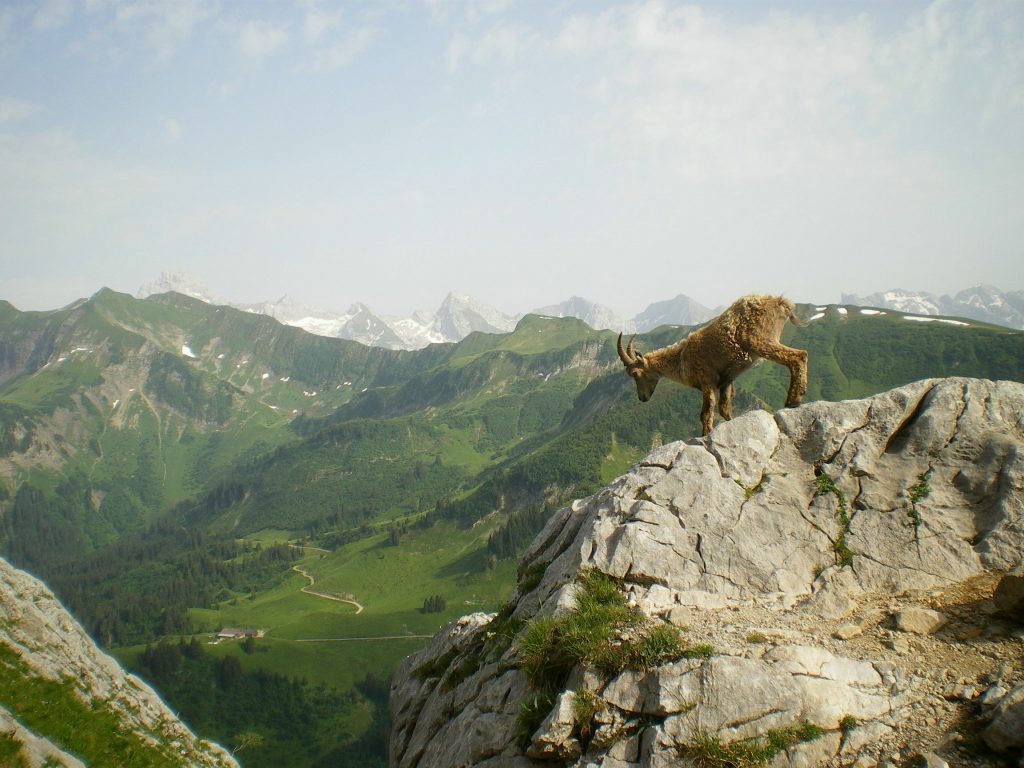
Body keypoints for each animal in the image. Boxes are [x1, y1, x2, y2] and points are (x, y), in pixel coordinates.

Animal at [618, 294, 808, 436]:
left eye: (635, 373)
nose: (642, 398)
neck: (680, 359)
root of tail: (781, 302)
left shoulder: (706, 381)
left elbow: (706, 413)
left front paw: (705, 435)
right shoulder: (726, 381)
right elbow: (724, 410)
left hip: (761, 341)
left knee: (798, 356)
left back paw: (793, 400)